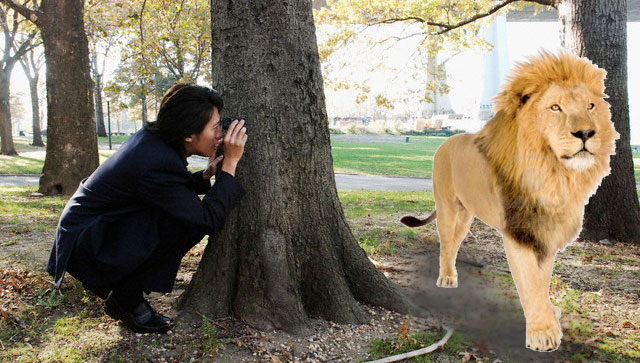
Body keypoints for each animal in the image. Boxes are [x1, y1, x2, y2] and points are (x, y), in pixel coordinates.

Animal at [402, 52, 616, 352]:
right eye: (555, 107)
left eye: (591, 106)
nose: (586, 133)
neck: (555, 176)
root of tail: (445, 142)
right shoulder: (518, 231)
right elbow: (530, 281)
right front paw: (542, 333)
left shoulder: (545, 231)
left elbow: (543, 279)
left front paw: (549, 314)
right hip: (446, 206)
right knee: (444, 242)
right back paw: (445, 278)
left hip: (467, 215)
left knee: (455, 243)